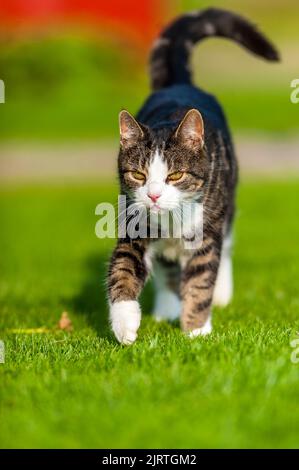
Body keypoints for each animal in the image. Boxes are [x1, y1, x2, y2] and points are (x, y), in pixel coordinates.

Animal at [107, 8, 278, 346]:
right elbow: (123, 267)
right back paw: (166, 306)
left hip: (226, 202)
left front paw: (197, 331)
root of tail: (179, 85)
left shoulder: (207, 229)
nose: (154, 195)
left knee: (225, 245)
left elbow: (201, 277)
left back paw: (220, 294)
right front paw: (125, 323)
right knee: (168, 267)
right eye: (138, 174)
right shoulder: (134, 221)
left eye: (175, 175)